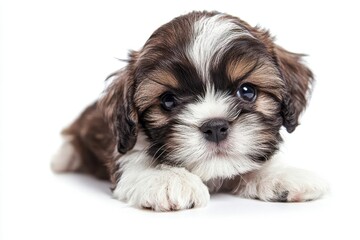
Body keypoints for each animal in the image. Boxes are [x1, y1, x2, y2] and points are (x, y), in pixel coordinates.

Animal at [51, 10, 330, 210]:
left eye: (247, 91)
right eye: (168, 100)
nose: (215, 127)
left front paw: (281, 174)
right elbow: (136, 159)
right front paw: (167, 178)